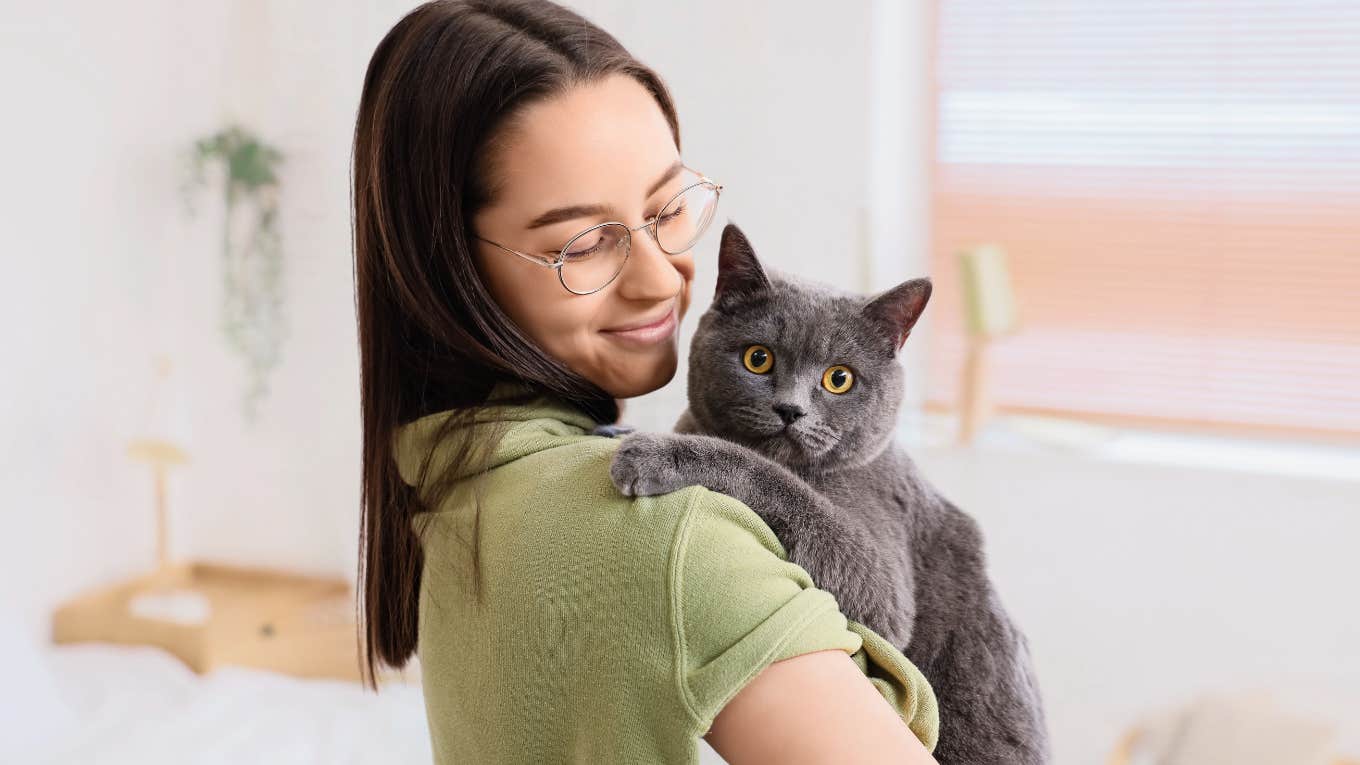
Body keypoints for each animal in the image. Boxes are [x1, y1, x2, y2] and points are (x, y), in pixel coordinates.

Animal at [609, 223, 1049, 756]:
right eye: (758, 358)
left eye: (840, 378)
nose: (790, 409)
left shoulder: (886, 583)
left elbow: (771, 476)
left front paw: (655, 453)